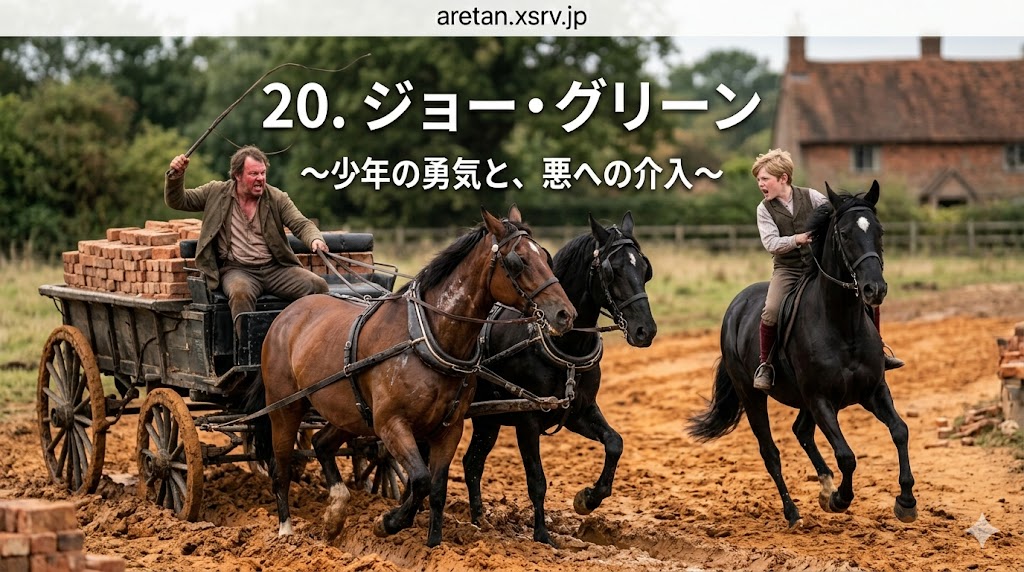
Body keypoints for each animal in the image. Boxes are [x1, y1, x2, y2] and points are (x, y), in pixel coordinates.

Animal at [250, 206, 576, 547]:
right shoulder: (392, 423)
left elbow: (437, 488)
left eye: (546, 256)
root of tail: (286, 314)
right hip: (285, 408)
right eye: (518, 261)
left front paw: (433, 544)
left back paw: (335, 513)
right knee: (281, 467)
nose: (565, 314)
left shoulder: (449, 428)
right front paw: (388, 522)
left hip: (349, 413)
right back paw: (286, 530)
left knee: (322, 444)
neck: (427, 338)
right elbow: (420, 479)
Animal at [462, 212, 657, 545]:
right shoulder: (527, 419)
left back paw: (479, 520)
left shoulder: (579, 411)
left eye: (645, 269)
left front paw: (588, 498)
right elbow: (537, 480)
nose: (646, 330)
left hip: (488, 420)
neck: (564, 345)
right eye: (612, 270)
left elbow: (614, 443)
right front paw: (542, 535)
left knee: (472, 462)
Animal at [687, 181, 917, 529]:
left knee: (801, 431)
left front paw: (906, 501)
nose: (874, 289)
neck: (842, 325)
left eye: (879, 230)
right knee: (770, 452)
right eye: (845, 233)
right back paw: (794, 512)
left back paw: (824, 485)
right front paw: (840, 499)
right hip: (753, 397)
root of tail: (735, 306)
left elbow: (900, 431)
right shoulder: (821, 400)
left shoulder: (873, 391)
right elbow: (847, 455)